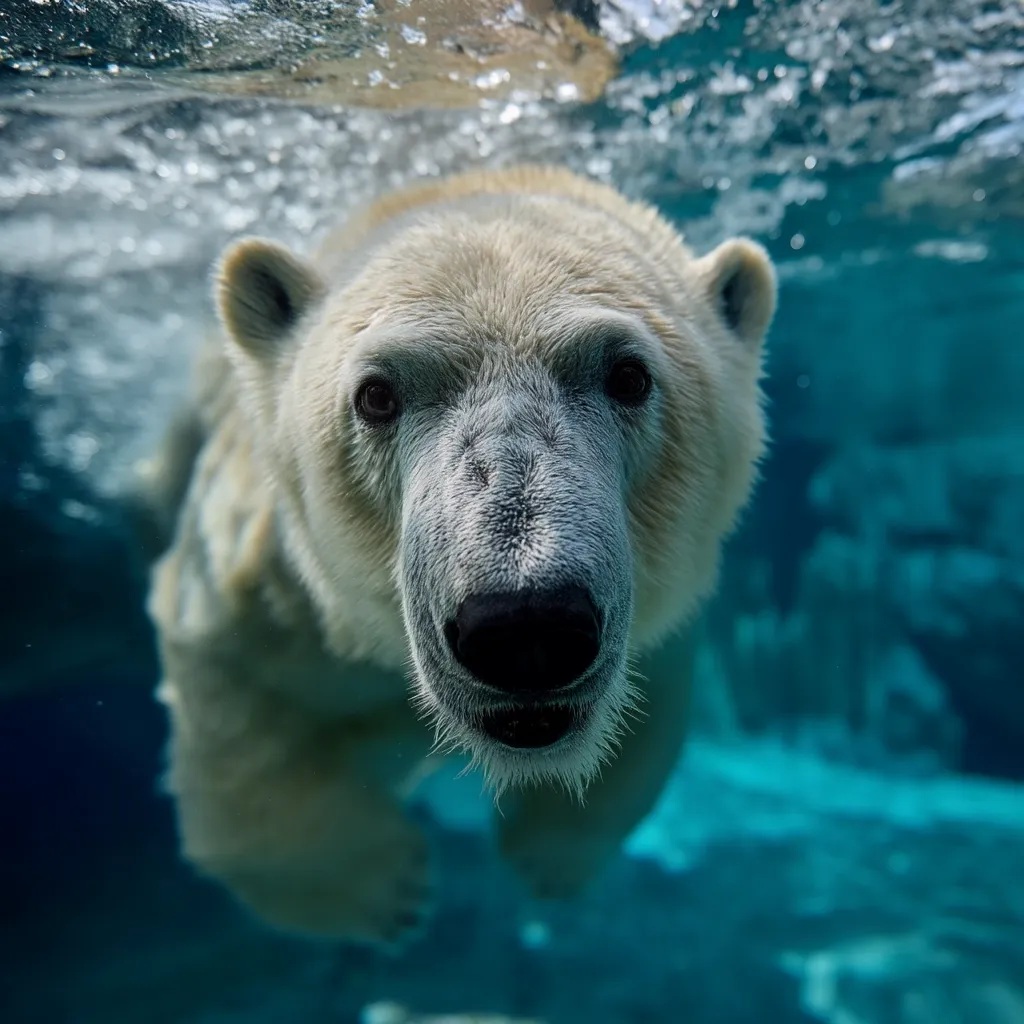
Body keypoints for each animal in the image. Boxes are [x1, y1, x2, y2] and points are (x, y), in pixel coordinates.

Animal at [144, 165, 776, 946]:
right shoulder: (265, 586)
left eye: (629, 376)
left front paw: (548, 854)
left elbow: (648, 703)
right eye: (375, 394)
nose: (527, 628)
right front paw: (383, 888)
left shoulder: (660, 614)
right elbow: (227, 691)